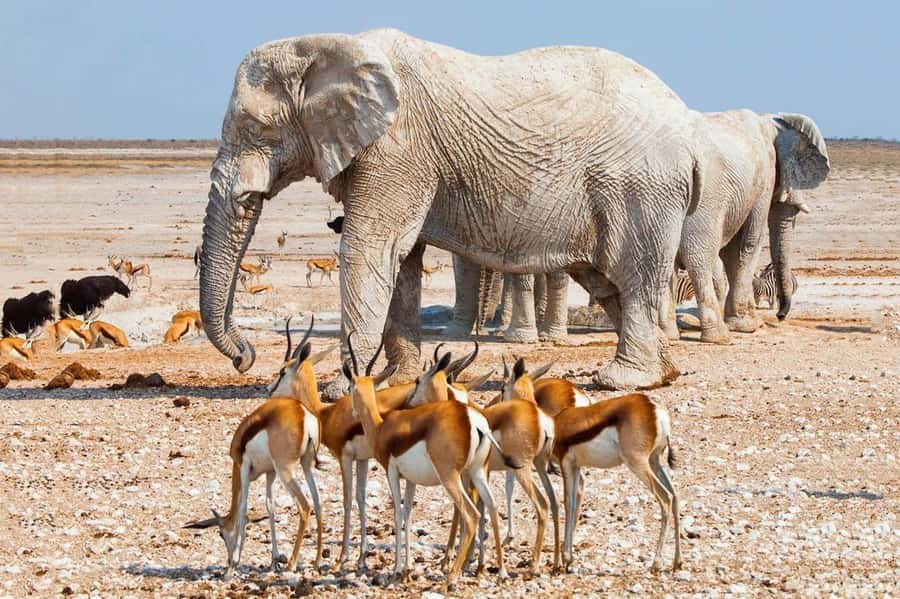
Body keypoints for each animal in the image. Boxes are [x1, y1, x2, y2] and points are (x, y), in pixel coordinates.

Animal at [200, 28, 711, 394]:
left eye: (256, 129)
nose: (245, 357)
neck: (328, 46)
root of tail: (689, 132)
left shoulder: (398, 150)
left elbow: (368, 250)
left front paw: (340, 391)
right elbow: (402, 262)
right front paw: (398, 381)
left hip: (638, 188)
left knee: (633, 275)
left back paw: (622, 381)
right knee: (607, 283)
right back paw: (663, 373)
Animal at [657, 111, 828, 343]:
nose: (780, 315)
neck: (772, 120)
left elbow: (732, 252)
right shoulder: (764, 177)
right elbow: (747, 243)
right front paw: (746, 325)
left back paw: (668, 334)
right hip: (704, 198)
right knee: (699, 258)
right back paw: (718, 336)